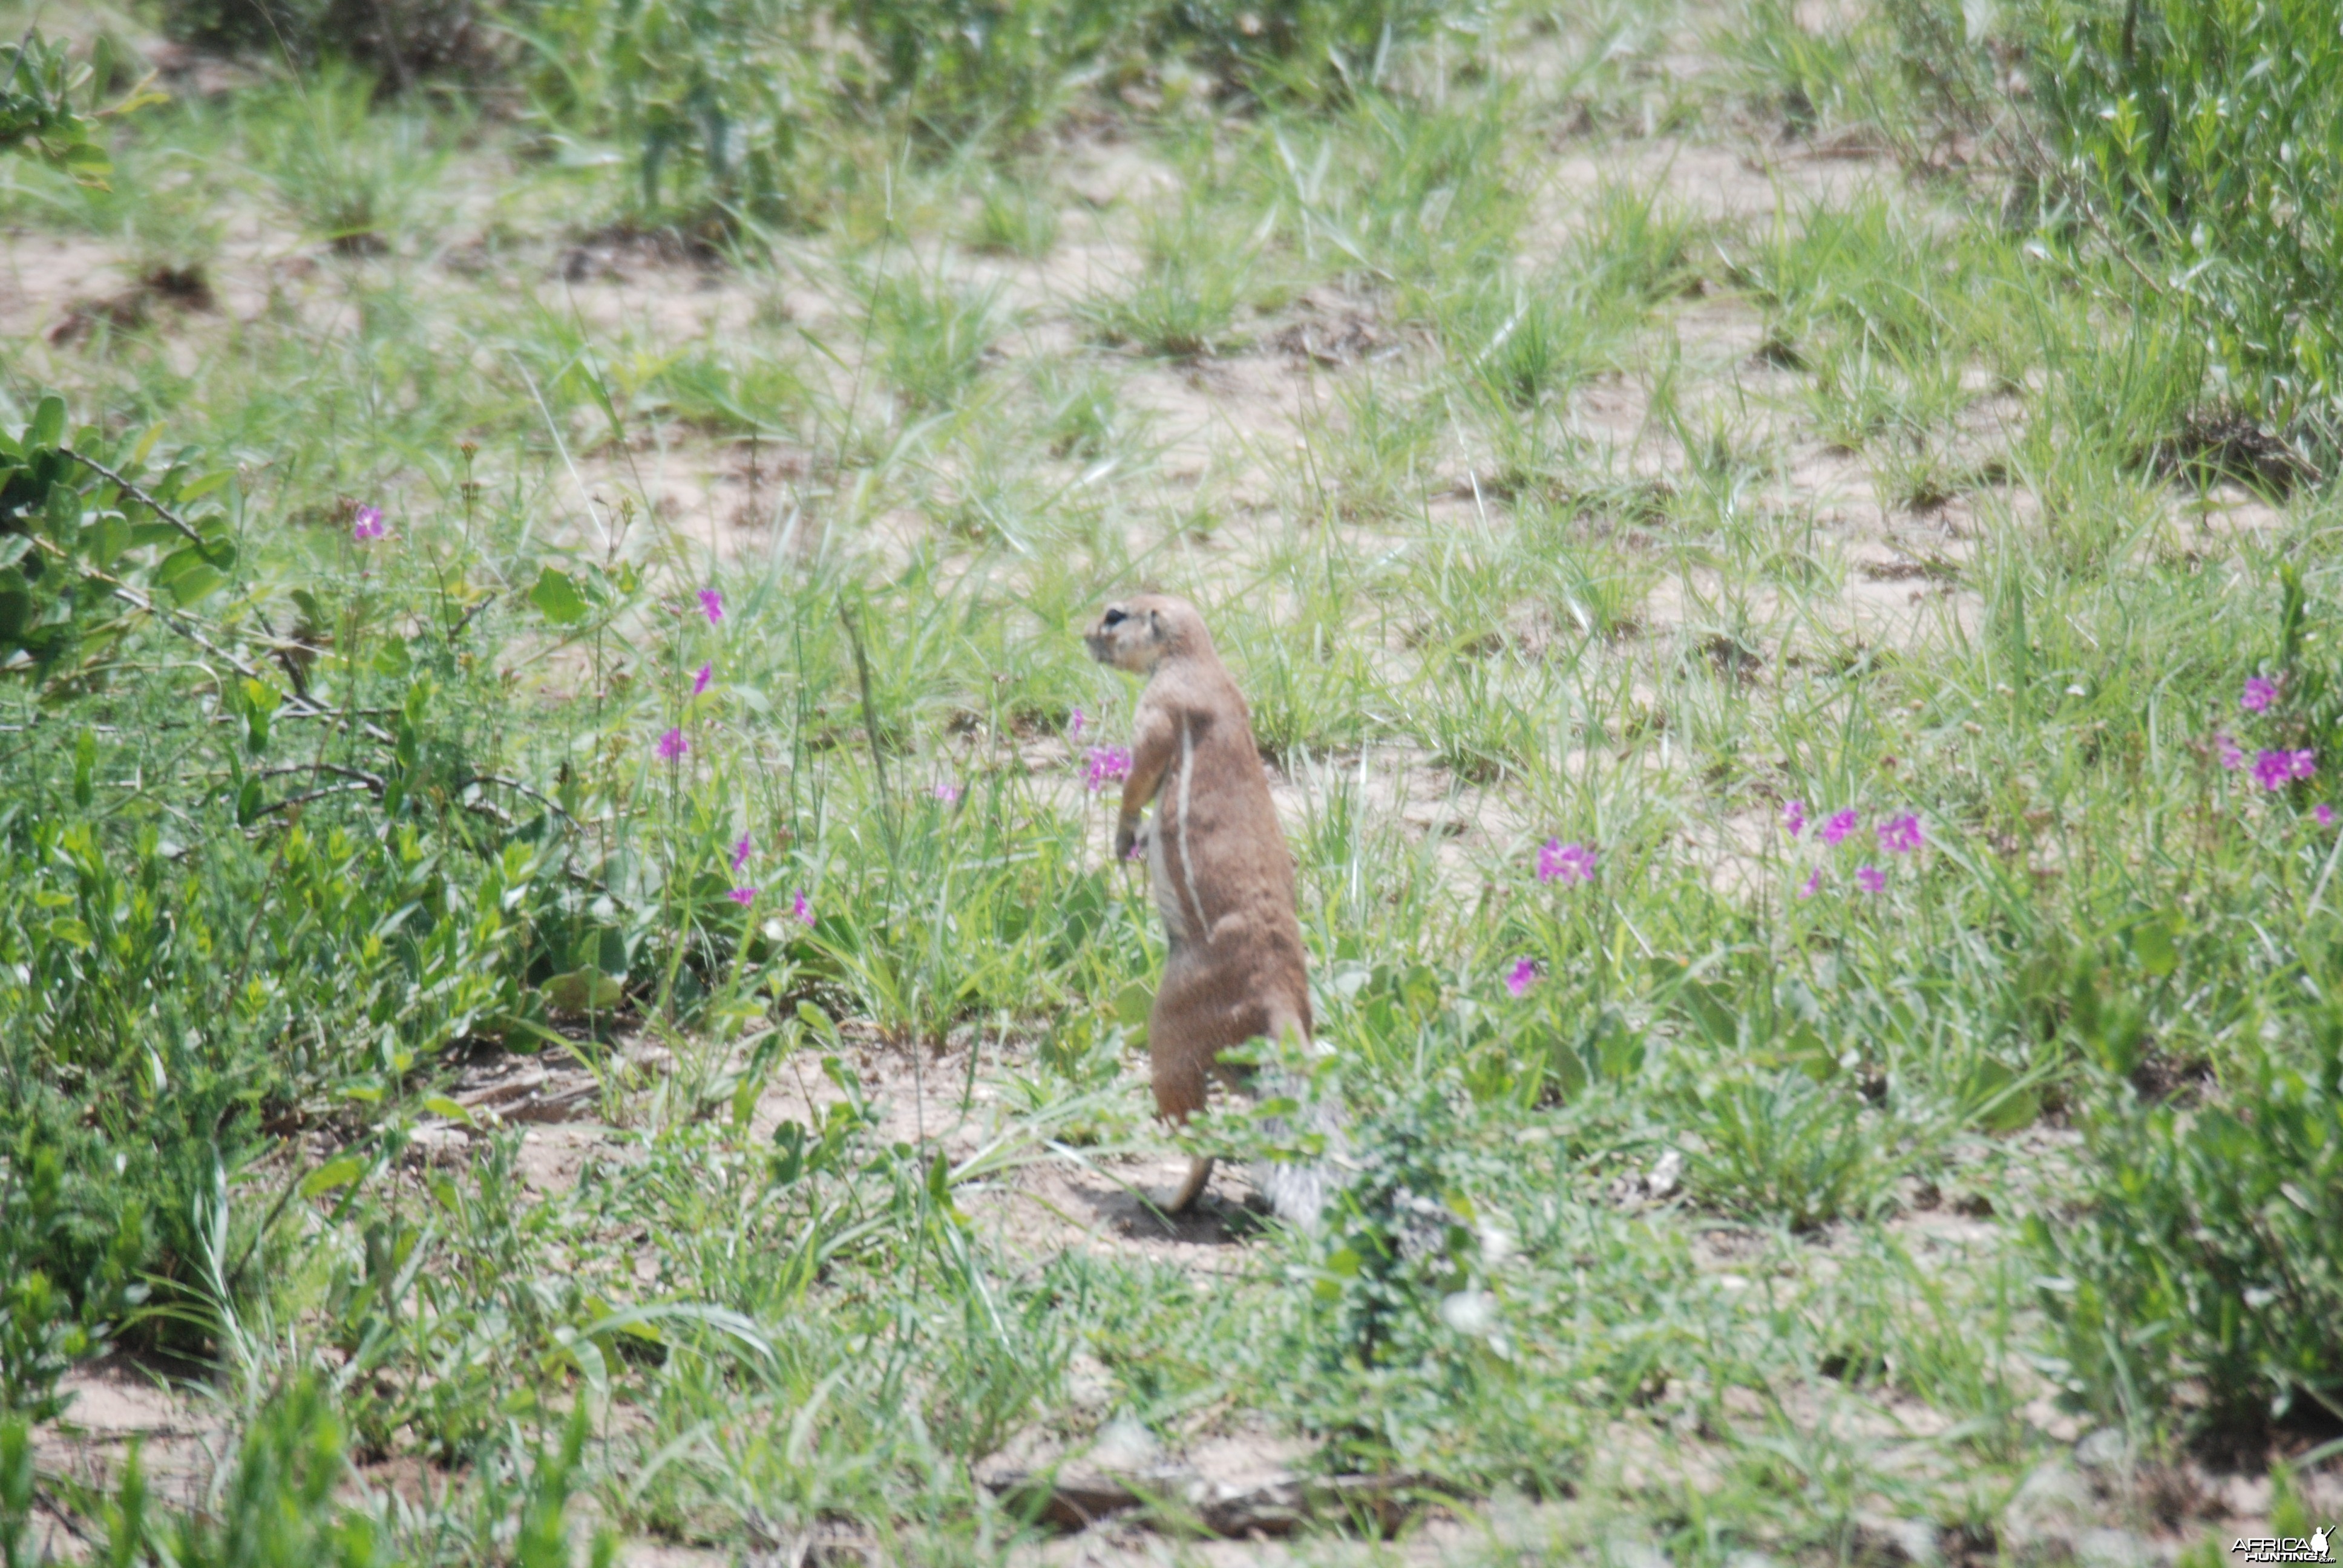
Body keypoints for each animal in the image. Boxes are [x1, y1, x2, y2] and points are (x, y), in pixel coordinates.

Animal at [1082, 593, 1331, 1218]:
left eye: (1115, 616)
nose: (1085, 636)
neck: (1197, 657)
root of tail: (1279, 1000)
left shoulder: (1160, 711)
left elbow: (1140, 776)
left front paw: (1124, 836)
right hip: (1242, 1066)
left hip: (1169, 1035)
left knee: (1202, 1139)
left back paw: (1165, 1198)